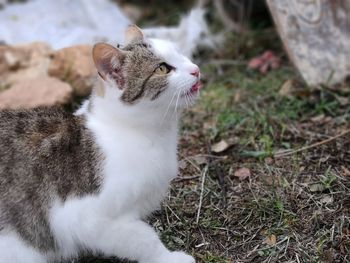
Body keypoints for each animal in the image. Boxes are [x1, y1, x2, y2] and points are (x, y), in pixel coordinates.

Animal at [0, 25, 201, 263]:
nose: (196, 70)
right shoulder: (85, 218)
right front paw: (168, 257)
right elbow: (143, 238)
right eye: (162, 68)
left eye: (180, 53)